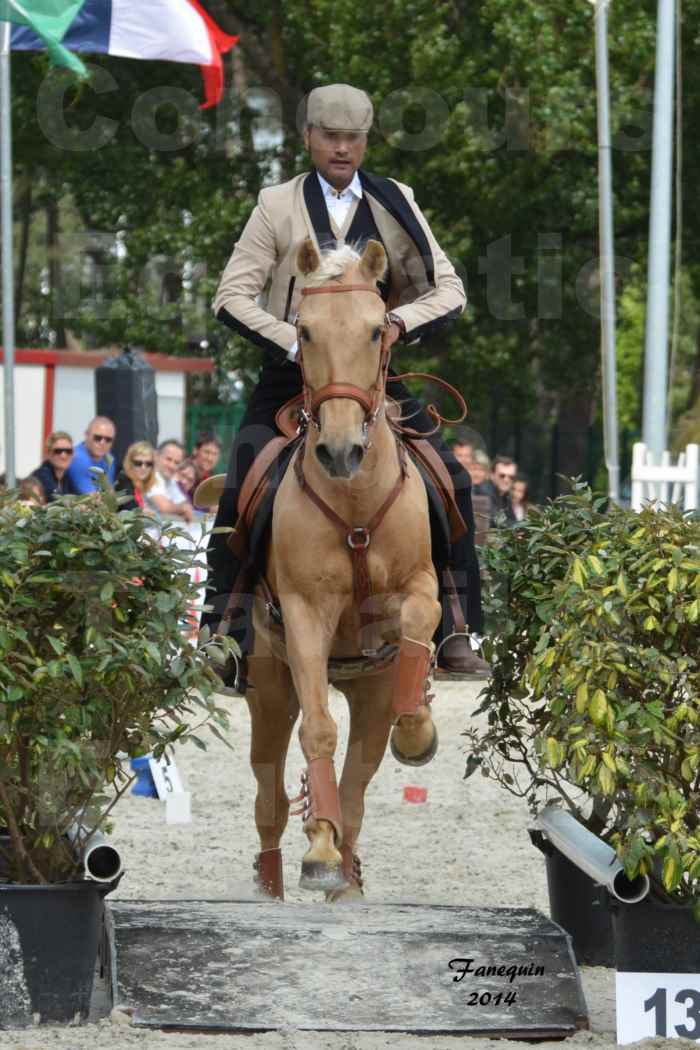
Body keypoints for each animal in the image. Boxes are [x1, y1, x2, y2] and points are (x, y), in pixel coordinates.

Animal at [248, 238, 440, 902]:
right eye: (304, 331)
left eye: (376, 329)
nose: (339, 451)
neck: (355, 502)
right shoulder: (306, 614)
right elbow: (318, 734)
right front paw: (320, 850)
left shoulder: (418, 588)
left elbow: (420, 619)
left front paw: (419, 726)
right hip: (267, 689)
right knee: (271, 795)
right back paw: (280, 875)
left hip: (369, 690)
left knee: (359, 779)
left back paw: (349, 874)